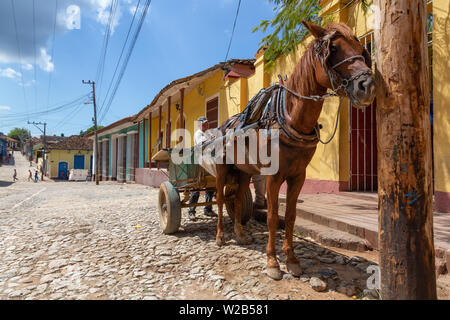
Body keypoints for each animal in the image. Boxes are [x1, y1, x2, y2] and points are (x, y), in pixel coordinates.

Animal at [214, 21, 376, 280]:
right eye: (333, 49)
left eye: (361, 50)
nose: (367, 86)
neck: (291, 119)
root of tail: (224, 125)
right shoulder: (272, 176)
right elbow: (272, 217)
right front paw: (272, 262)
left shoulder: (298, 176)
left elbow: (290, 216)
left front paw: (291, 259)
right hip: (221, 170)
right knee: (220, 199)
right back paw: (220, 236)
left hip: (244, 171)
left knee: (237, 200)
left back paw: (240, 234)